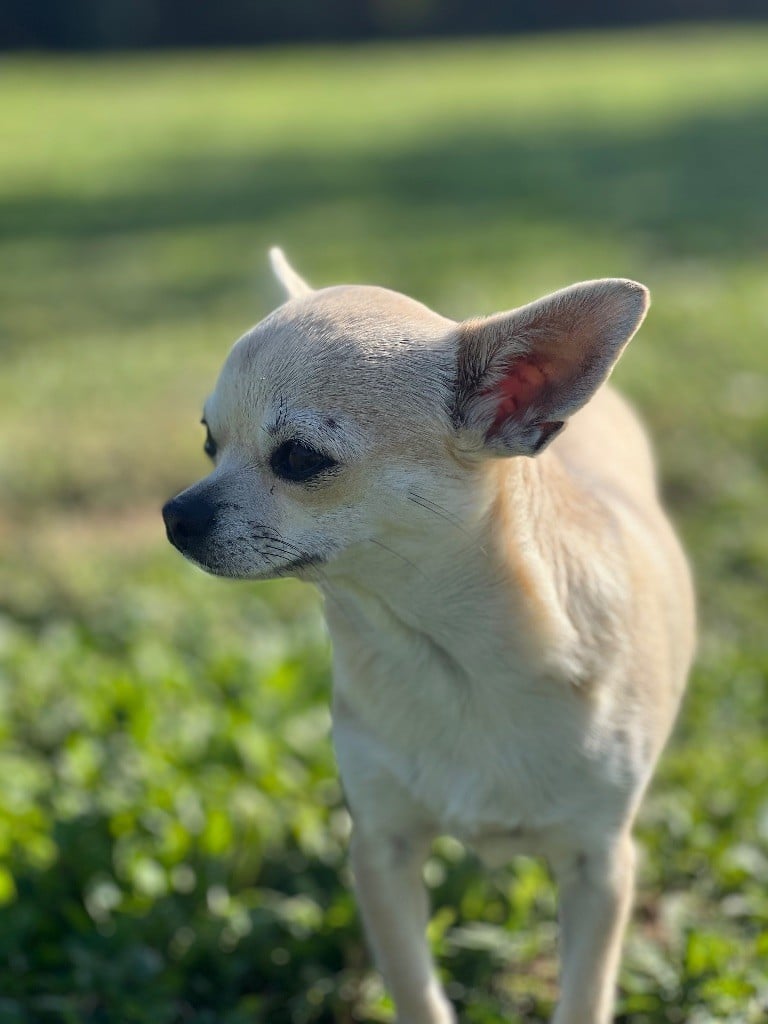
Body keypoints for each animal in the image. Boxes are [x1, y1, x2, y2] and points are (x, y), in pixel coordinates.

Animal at [163, 249, 696, 1024]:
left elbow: (583, 994)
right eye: (209, 443)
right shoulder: (381, 848)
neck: (448, 656)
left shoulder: (600, 868)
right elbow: (415, 985)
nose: (176, 514)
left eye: (299, 459)